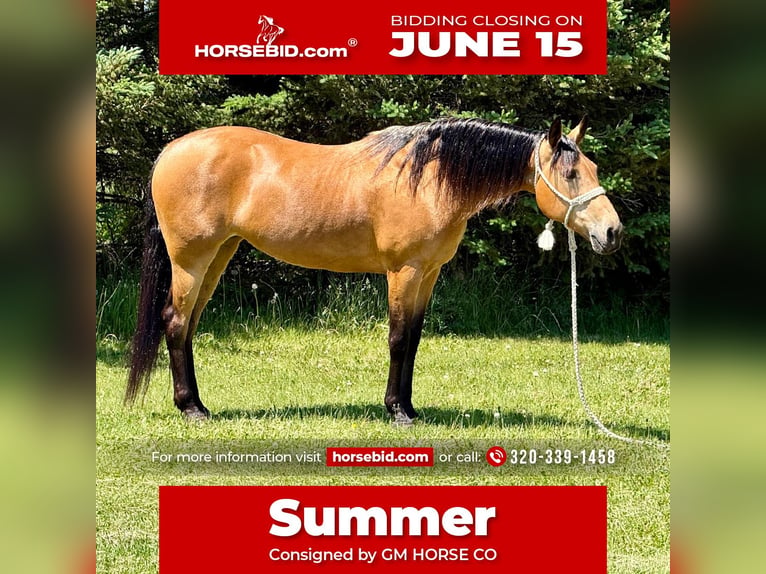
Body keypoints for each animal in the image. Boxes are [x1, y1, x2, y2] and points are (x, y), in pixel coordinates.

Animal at [125, 116, 623, 423]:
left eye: (595, 167)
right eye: (571, 174)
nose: (612, 232)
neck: (431, 180)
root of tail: (170, 151)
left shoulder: (428, 274)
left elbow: (415, 340)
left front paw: (409, 406)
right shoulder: (404, 271)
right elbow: (398, 338)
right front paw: (397, 411)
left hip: (219, 255)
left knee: (188, 326)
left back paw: (197, 403)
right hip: (191, 260)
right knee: (175, 323)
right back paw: (190, 408)